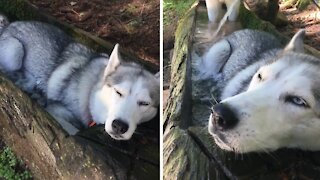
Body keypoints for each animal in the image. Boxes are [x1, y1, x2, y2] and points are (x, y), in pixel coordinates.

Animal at [0, 15, 159, 139]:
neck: (90, 94)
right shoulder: (55, 110)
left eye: (144, 103)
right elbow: (71, 129)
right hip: (15, 50)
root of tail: (8, 24)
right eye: (118, 92)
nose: (119, 126)